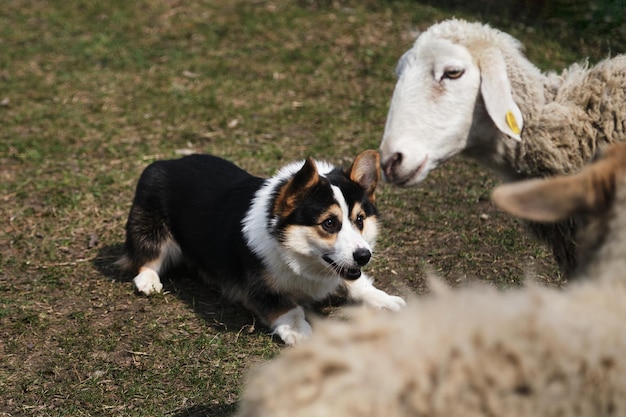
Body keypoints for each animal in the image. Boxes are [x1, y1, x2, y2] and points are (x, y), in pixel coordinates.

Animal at [117, 150, 404, 344]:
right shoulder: (258, 288)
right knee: (146, 258)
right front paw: (300, 333)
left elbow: (358, 284)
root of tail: (165, 163)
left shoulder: (347, 270)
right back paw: (148, 281)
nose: (364, 256)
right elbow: (289, 308)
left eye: (360, 220)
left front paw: (386, 301)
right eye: (329, 223)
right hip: (151, 228)